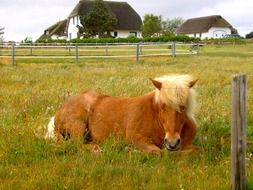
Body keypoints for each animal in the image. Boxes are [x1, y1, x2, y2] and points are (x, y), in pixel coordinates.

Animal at [46, 74, 199, 154]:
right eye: (162, 106)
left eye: (184, 107)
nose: (172, 142)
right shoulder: (138, 139)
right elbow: (159, 152)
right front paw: (129, 150)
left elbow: (194, 150)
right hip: (78, 124)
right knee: (77, 144)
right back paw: (97, 149)